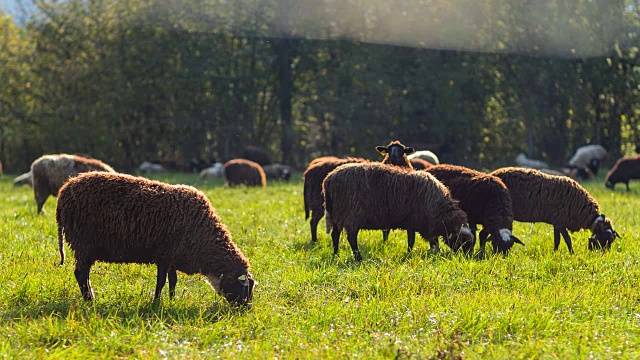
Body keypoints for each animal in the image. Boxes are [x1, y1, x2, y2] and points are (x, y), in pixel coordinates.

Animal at [55, 172, 255, 306]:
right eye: (244, 287)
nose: (247, 309)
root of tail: (64, 190)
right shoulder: (163, 256)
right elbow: (161, 282)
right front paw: (157, 302)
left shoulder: (172, 257)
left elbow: (173, 281)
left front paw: (172, 300)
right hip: (83, 244)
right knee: (81, 274)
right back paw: (90, 300)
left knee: (83, 274)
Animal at [324, 164, 476, 262]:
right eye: (463, 242)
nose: (467, 259)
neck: (441, 210)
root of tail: (329, 179)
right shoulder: (423, 221)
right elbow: (428, 241)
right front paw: (435, 253)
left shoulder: (412, 222)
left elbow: (411, 241)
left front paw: (410, 254)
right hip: (351, 214)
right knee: (351, 238)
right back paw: (358, 258)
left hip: (336, 213)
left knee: (335, 234)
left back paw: (336, 253)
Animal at [490, 167, 620, 253]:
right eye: (606, 238)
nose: (604, 254)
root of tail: (492, 173)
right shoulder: (560, 222)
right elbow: (567, 239)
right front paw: (572, 253)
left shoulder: (557, 223)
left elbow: (557, 240)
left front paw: (555, 253)